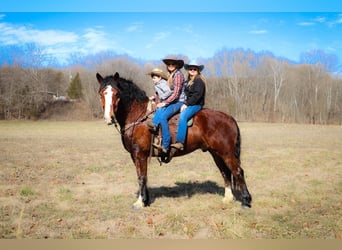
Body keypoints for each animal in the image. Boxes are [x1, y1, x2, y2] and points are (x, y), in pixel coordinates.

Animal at [96, 72, 251, 209]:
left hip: (226, 153)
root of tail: (229, 118)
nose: (108, 117)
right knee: (226, 172)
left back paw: (246, 201)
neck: (139, 116)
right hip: (216, 153)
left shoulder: (140, 154)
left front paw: (140, 202)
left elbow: (142, 177)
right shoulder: (134, 156)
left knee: (238, 171)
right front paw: (145, 200)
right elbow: (141, 176)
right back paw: (228, 198)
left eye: (116, 93)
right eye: (101, 93)